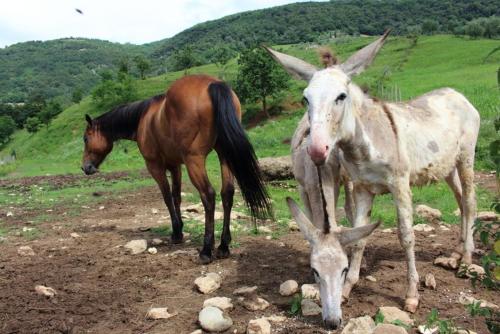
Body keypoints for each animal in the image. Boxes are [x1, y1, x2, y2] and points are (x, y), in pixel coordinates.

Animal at [80, 75, 272, 264]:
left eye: (85, 139)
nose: (85, 167)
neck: (144, 118)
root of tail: (213, 84)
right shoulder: (175, 166)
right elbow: (176, 196)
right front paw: (179, 229)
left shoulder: (155, 166)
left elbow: (166, 197)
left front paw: (177, 233)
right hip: (224, 155)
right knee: (227, 193)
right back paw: (223, 247)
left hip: (194, 160)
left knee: (208, 195)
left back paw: (206, 251)